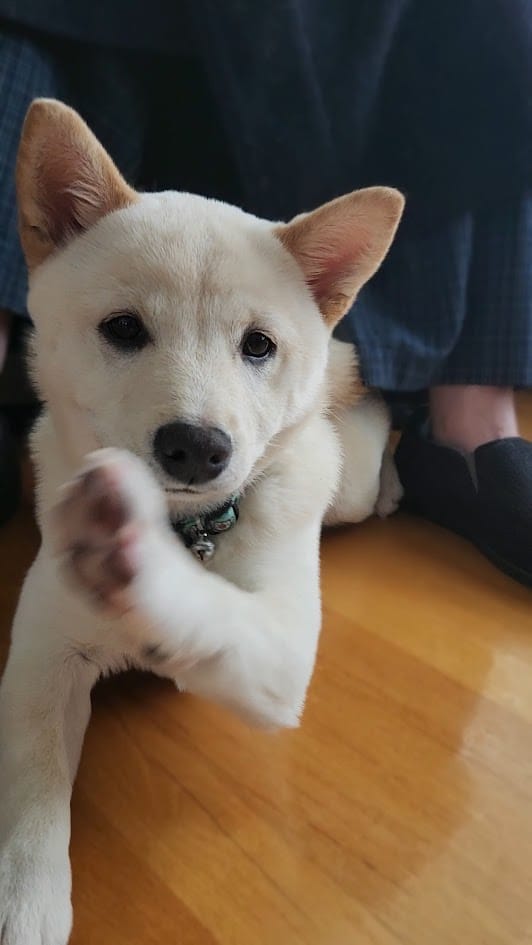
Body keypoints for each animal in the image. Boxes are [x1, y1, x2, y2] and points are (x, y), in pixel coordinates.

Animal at [0, 99, 404, 940]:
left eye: (259, 345)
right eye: (123, 328)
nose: (197, 446)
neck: (189, 528)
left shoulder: (278, 650)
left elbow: (214, 611)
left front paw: (135, 559)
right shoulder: (43, 658)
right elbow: (30, 786)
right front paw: (23, 901)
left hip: (343, 476)